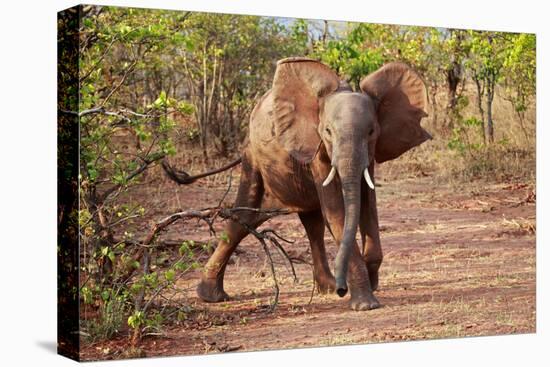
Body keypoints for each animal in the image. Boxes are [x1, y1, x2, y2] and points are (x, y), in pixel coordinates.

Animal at [194, 56, 432, 310]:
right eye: (327, 131)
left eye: (371, 132)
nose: (342, 290)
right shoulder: (316, 149)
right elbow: (336, 212)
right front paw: (365, 304)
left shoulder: (369, 155)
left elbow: (367, 205)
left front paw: (370, 282)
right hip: (252, 158)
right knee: (243, 219)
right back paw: (211, 296)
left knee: (311, 223)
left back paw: (327, 287)